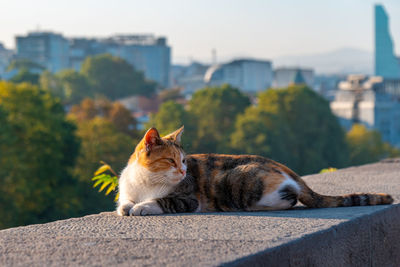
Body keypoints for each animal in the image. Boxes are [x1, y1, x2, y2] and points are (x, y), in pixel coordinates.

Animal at [116, 126, 394, 217]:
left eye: (184, 161)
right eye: (172, 161)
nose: (184, 172)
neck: (145, 182)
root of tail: (282, 166)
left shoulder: (188, 199)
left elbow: (163, 201)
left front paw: (142, 207)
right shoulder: (127, 191)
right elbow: (124, 202)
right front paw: (127, 207)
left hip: (238, 180)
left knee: (289, 198)